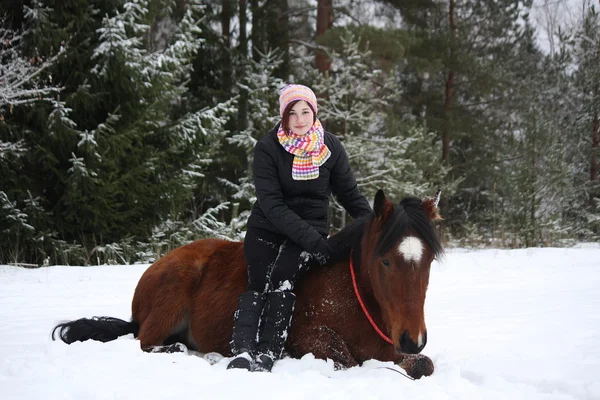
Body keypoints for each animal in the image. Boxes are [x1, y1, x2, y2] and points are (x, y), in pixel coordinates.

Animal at [54, 189, 442, 380]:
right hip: (170, 300)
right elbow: (345, 359)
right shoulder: (308, 337)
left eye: (428, 261)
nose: (413, 338)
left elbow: (424, 364)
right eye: (385, 260)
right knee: (145, 342)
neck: (352, 293)